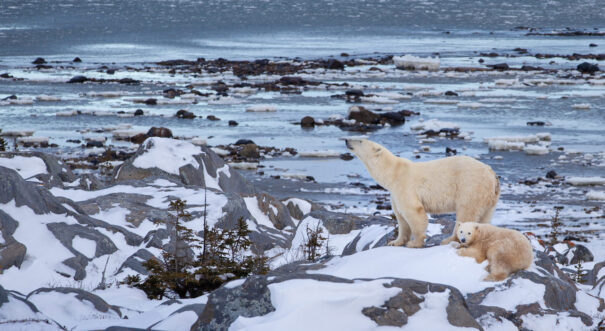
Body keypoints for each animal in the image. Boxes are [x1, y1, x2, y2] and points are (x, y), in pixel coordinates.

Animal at [346, 139, 498, 248]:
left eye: (360, 140)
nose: (347, 140)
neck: (393, 173)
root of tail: (492, 174)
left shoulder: (405, 185)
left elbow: (413, 212)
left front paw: (414, 243)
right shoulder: (394, 194)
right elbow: (400, 217)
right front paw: (395, 242)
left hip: (470, 187)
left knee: (466, 212)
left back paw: (448, 239)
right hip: (488, 198)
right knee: (485, 217)